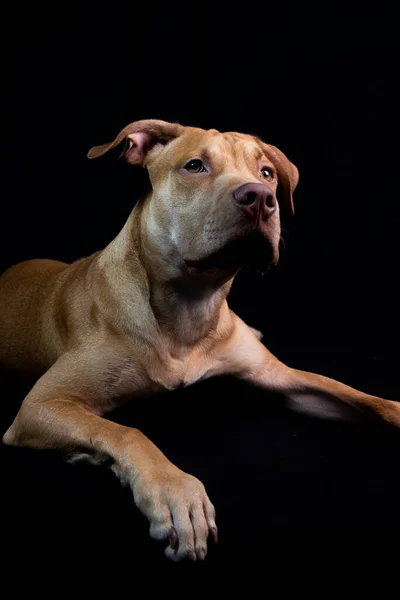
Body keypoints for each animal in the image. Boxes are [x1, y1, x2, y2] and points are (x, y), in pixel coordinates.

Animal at [0, 120, 400, 564]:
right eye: (195, 166)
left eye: (267, 173)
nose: (260, 198)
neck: (190, 307)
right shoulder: (44, 405)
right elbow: (127, 432)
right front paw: (176, 493)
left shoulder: (279, 376)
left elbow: (365, 398)